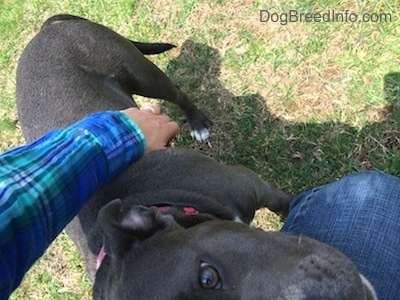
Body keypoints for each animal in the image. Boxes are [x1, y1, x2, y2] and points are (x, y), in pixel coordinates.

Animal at [16, 14, 376, 300]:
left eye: (208, 276)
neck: (169, 204)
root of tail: (46, 28)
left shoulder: (252, 184)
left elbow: (286, 203)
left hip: (140, 71)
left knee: (177, 93)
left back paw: (198, 122)